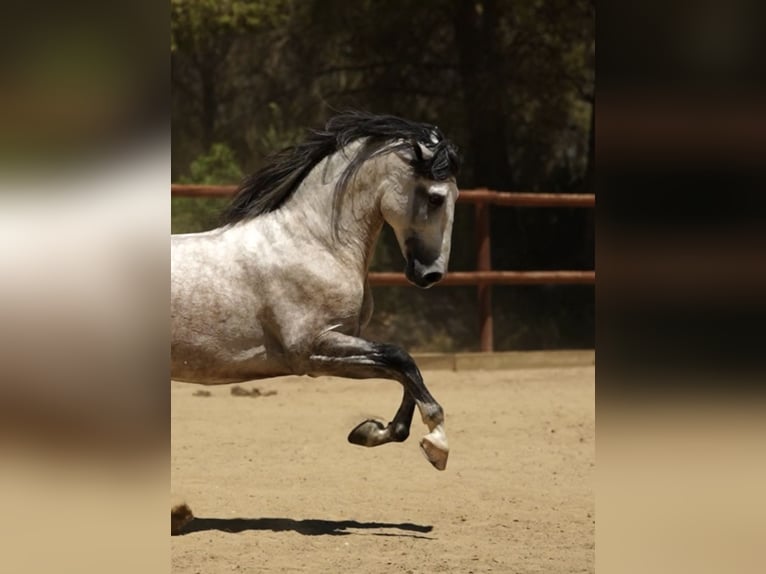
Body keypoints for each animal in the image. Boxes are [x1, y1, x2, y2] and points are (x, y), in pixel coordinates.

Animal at [171, 112, 460, 486]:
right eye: (436, 198)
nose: (431, 274)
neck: (315, 242)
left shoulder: (334, 347)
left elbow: (403, 369)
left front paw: (369, 432)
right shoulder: (311, 349)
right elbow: (401, 359)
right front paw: (437, 442)